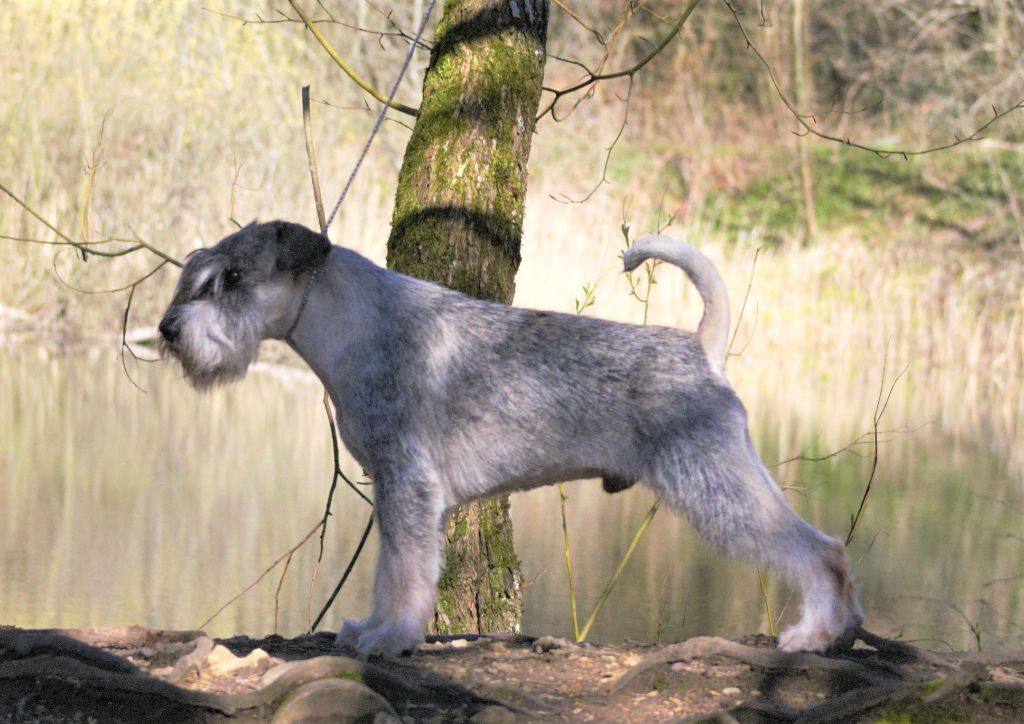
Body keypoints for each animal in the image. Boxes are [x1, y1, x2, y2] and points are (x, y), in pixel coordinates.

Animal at [157, 221, 864, 655]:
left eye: (232, 279)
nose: (167, 330)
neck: (355, 326)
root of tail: (700, 349)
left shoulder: (407, 483)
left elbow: (406, 572)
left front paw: (391, 638)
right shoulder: (396, 490)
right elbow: (394, 570)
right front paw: (373, 629)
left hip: (715, 483)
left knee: (818, 549)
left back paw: (813, 636)